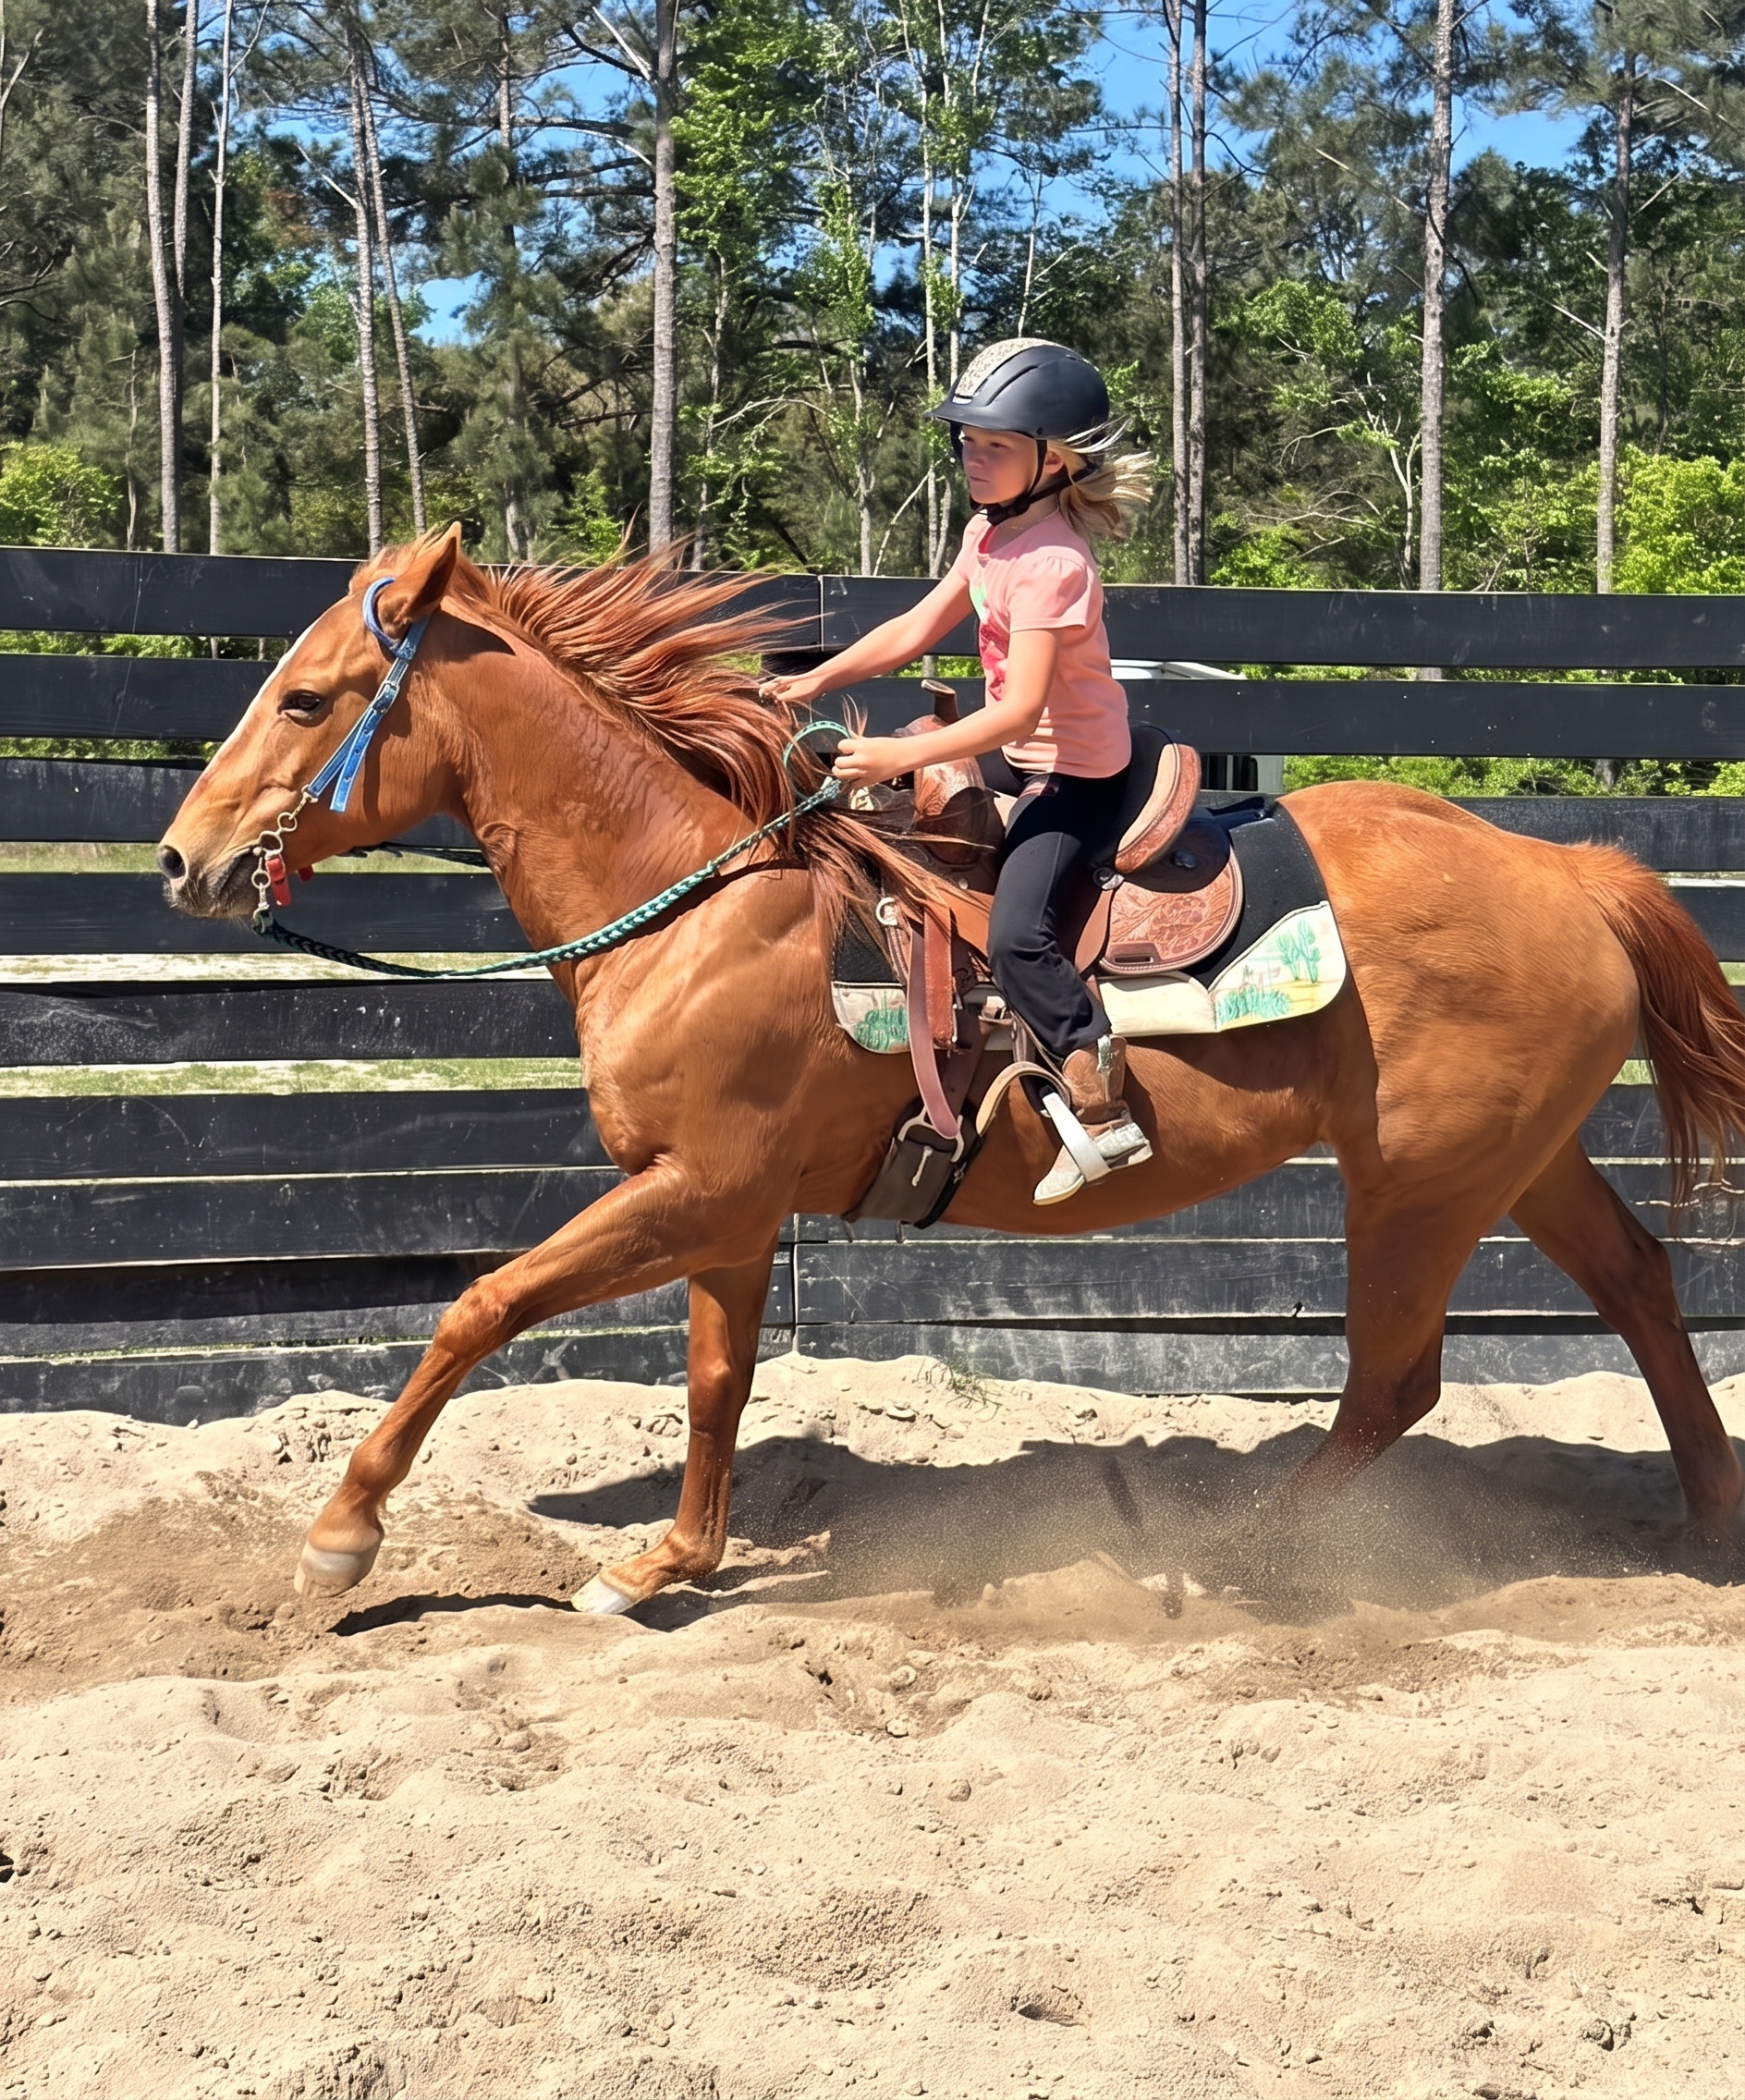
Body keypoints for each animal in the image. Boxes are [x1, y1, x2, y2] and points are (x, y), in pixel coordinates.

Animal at [158, 523, 1745, 1613]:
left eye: (305, 700)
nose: (183, 860)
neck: (698, 905)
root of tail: (1569, 870)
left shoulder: (692, 1190)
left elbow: (480, 1307)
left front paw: (342, 1535)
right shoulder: (730, 1212)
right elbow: (717, 1382)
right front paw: (668, 1564)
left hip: (1417, 1189)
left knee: (1395, 1385)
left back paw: (1240, 1552)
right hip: (1515, 1163)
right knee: (1637, 1287)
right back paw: (1712, 1520)